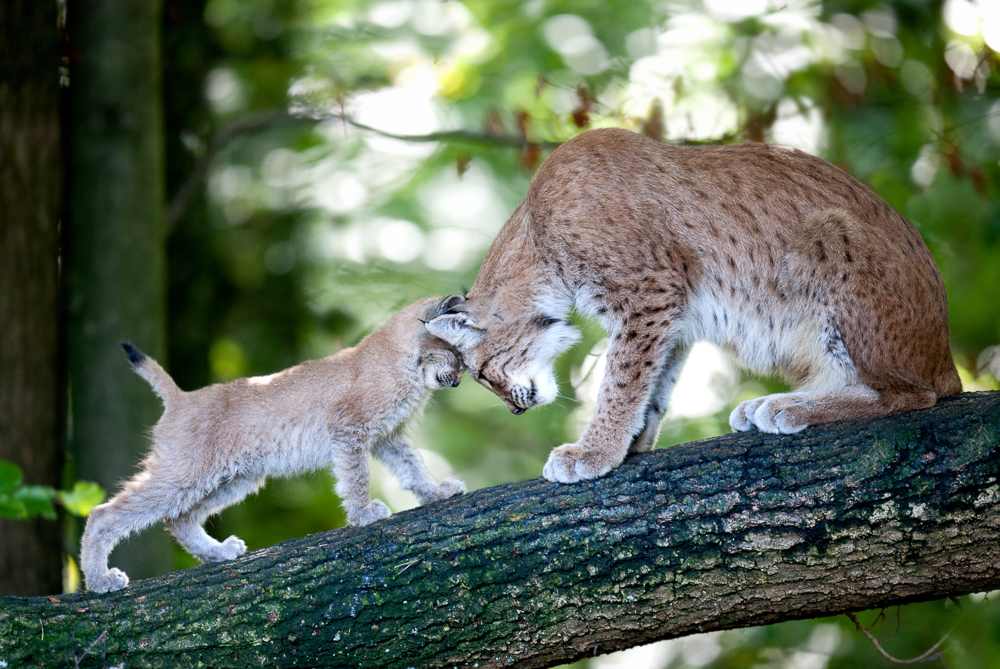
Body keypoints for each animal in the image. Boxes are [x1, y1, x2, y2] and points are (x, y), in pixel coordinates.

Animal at [81, 294, 464, 592]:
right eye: (458, 353)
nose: (460, 381)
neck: (408, 365)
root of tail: (182, 397)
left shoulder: (387, 436)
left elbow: (412, 465)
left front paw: (436, 492)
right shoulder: (350, 430)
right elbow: (356, 477)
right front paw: (363, 513)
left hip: (235, 477)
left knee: (179, 518)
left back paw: (218, 552)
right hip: (186, 474)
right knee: (104, 513)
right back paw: (100, 580)